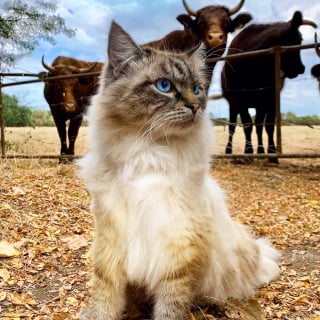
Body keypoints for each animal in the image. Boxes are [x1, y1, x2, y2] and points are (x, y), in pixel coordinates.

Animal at [78, 21, 280, 318]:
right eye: (164, 86)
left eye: (197, 88)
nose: (196, 106)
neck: (148, 154)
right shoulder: (110, 239)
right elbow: (105, 296)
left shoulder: (179, 249)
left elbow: (170, 305)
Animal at [220, 10, 318, 161]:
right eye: (289, 40)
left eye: (300, 40)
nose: (300, 68)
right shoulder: (240, 98)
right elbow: (247, 125)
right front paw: (248, 151)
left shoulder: (271, 99)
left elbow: (269, 126)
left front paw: (272, 153)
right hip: (234, 104)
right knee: (232, 126)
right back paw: (229, 151)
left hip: (260, 105)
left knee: (259, 126)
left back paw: (261, 151)